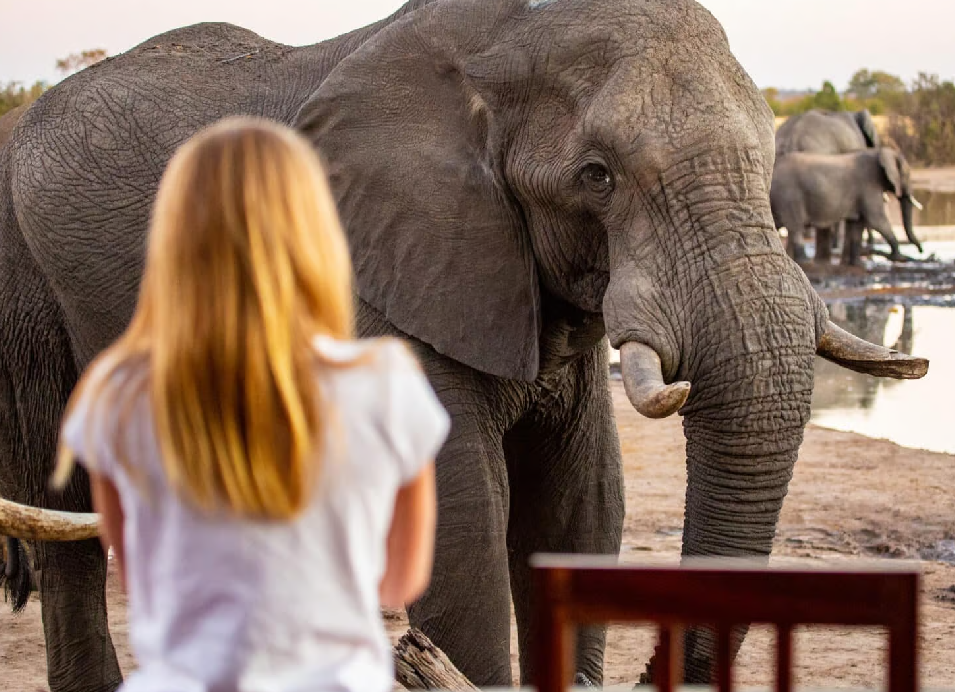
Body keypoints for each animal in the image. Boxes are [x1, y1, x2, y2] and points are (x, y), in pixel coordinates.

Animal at [773, 108, 923, 264]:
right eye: (906, 175)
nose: (920, 251)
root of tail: (790, 137)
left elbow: (857, 223)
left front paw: (855, 263)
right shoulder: (868, 183)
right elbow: (875, 219)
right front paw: (898, 258)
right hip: (792, 192)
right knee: (796, 226)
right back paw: (808, 260)